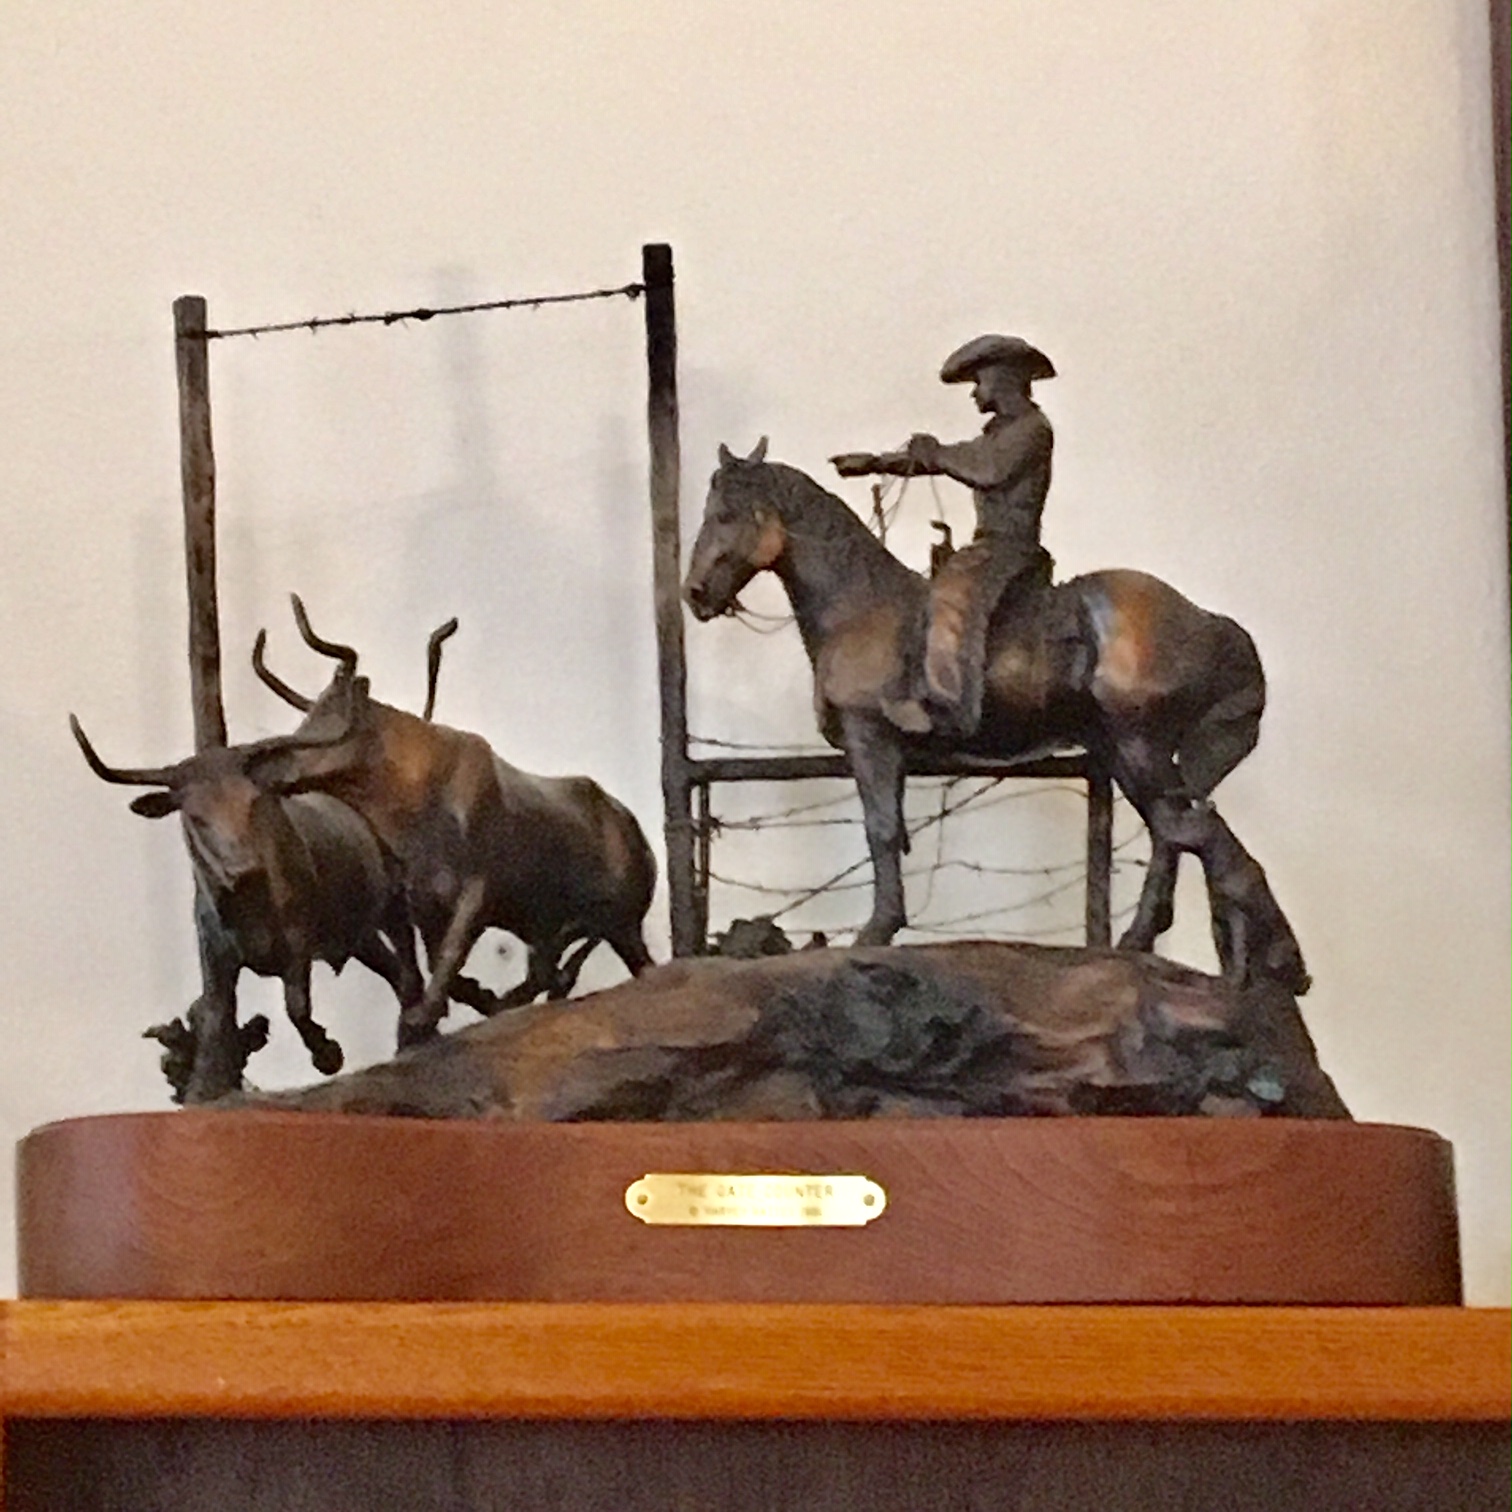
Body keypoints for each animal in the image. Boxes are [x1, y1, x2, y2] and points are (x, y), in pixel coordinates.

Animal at [686, 435, 1312, 991]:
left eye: (724, 514)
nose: (694, 594)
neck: (859, 607)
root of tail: (1212, 625)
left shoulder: (871, 741)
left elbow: (881, 830)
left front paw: (876, 932)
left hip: (1140, 747)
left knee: (1191, 831)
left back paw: (1266, 958)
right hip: (1126, 751)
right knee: (1176, 833)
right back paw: (1154, 945)